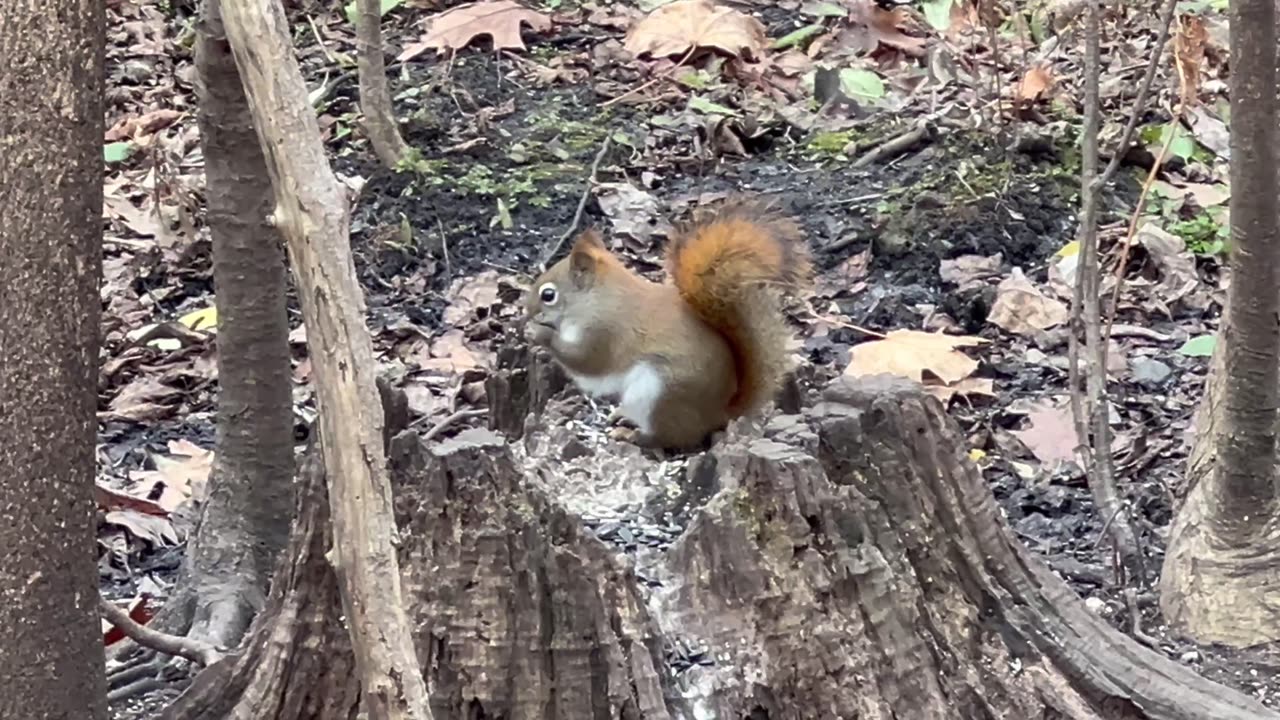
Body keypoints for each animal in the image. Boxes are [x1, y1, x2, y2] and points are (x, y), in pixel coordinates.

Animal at [527, 193, 808, 445]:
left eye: (548, 295)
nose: (526, 311)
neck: (598, 299)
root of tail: (719, 414)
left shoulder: (605, 332)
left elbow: (586, 360)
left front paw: (539, 333)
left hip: (657, 394)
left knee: (670, 438)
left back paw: (632, 435)